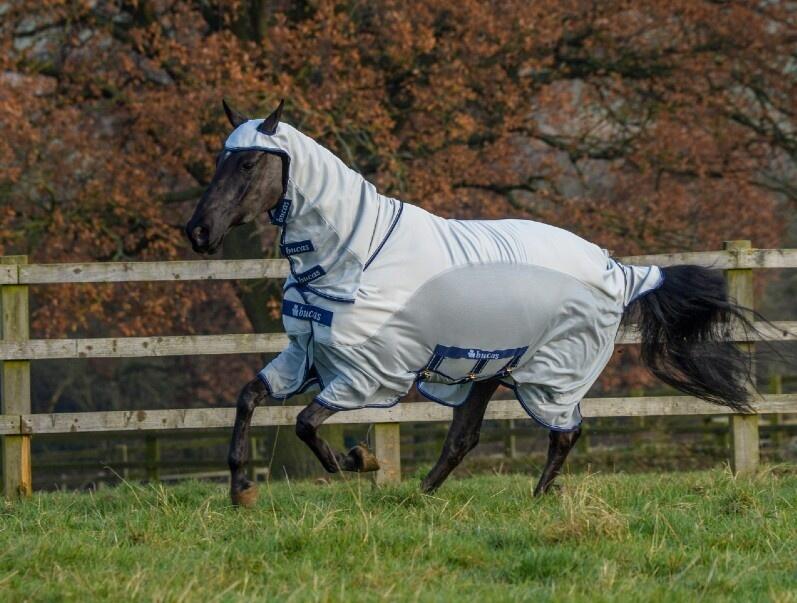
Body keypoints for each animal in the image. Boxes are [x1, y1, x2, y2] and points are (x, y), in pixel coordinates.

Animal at [186, 100, 756, 508]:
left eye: (250, 161)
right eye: (219, 159)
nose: (198, 231)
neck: (358, 253)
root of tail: (618, 269)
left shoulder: (368, 373)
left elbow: (306, 425)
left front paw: (361, 460)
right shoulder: (306, 356)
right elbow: (247, 398)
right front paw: (241, 489)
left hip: (551, 376)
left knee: (565, 432)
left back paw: (537, 497)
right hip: (484, 370)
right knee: (465, 438)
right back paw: (422, 496)